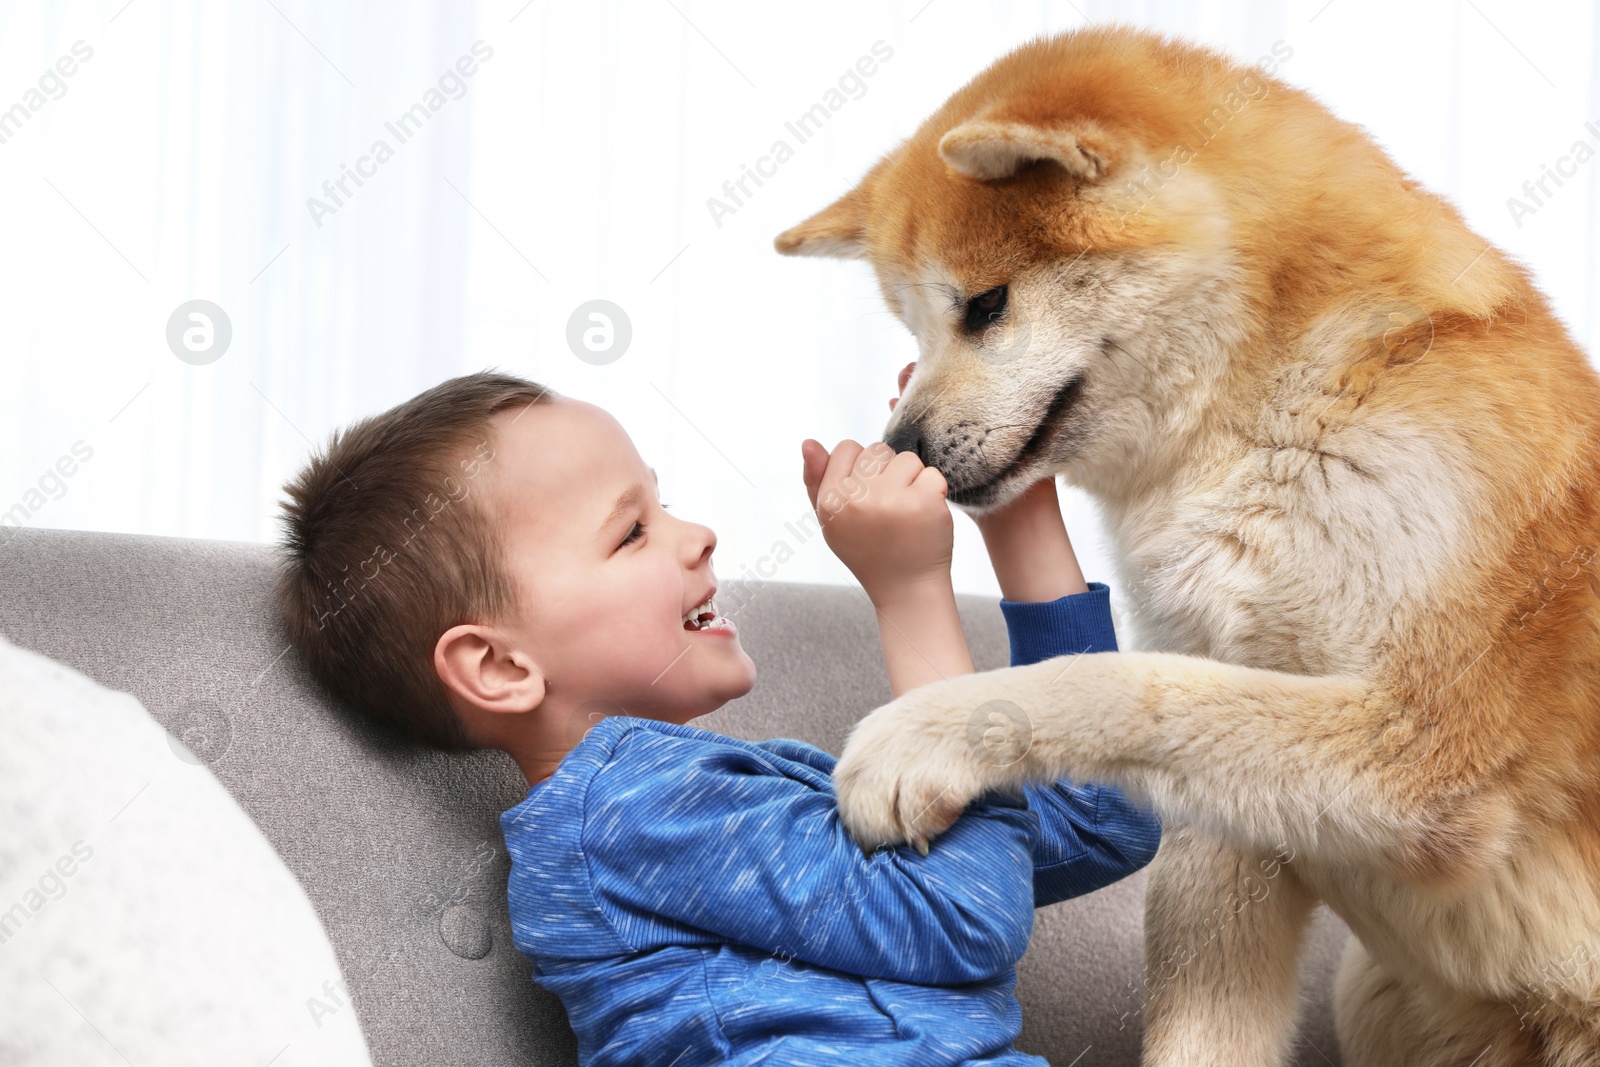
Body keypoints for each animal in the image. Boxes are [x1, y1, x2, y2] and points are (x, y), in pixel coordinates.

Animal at [774, 24, 1600, 1067]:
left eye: (986, 305)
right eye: (914, 323)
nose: (901, 449)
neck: (1283, 420)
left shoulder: (1423, 747)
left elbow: (1119, 683)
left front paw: (918, 738)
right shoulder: (1229, 834)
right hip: (1374, 996)